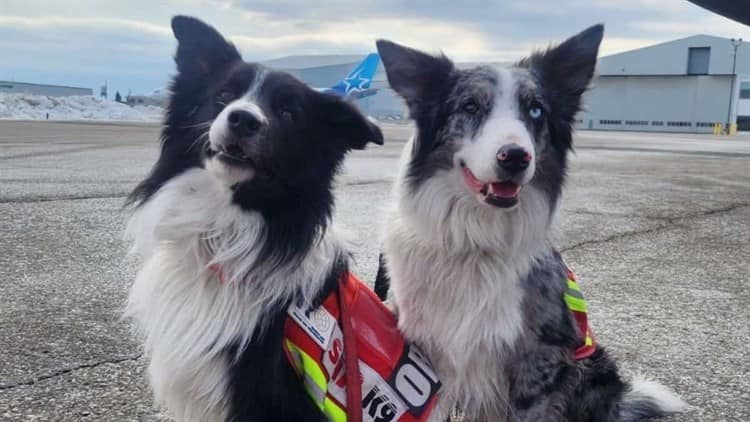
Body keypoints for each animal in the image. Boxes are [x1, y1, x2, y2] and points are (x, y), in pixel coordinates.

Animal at [378, 27, 692, 422]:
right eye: (470, 107)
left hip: (592, 369)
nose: (514, 157)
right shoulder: (428, 350)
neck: (475, 238)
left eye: (536, 110)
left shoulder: (540, 360)